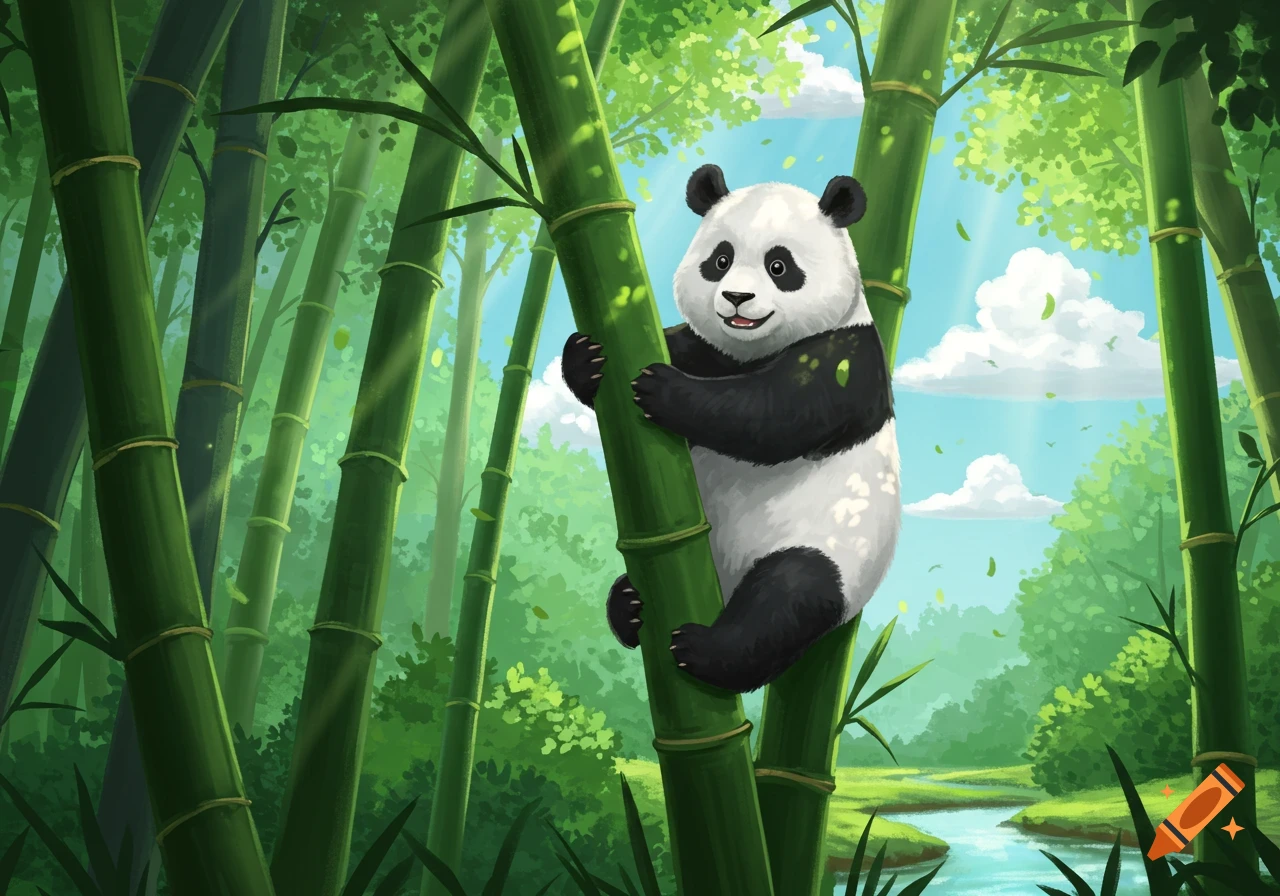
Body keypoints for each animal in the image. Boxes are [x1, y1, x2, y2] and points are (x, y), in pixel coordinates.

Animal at [560, 164, 900, 694]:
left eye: (779, 266)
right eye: (720, 260)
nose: (737, 297)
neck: (751, 352)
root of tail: (718, 592)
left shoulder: (847, 358)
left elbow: (772, 416)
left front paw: (663, 391)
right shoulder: (709, 350)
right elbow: (676, 345)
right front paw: (584, 360)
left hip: (833, 550)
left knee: (789, 598)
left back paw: (704, 650)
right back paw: (628, 607)